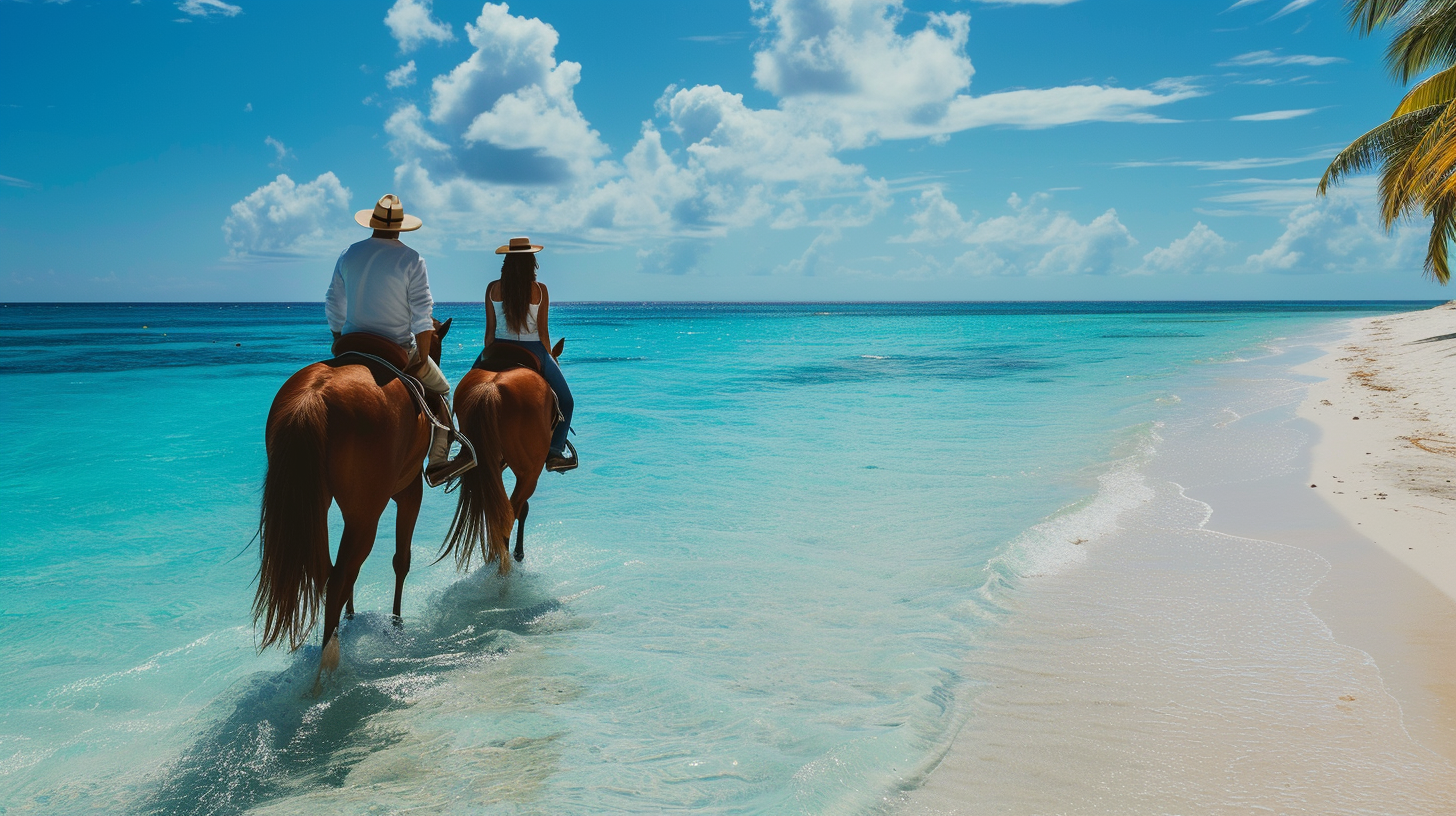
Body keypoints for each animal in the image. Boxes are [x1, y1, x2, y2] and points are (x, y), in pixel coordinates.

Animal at [253, 319, 451, 681]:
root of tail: (314, 396)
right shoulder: (409, 492)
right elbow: (401, 560)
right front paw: (396, 623)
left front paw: (354, 616)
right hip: (366, 514)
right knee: (339, 574)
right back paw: (330, 658)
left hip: (315, 504)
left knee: (330, 572)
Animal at [436, 338, 562, 574]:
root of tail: (491, 388)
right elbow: (522, 508)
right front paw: (518, 552)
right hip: (529, 472)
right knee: (511, 511)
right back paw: (505, 563)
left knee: (498, 511)